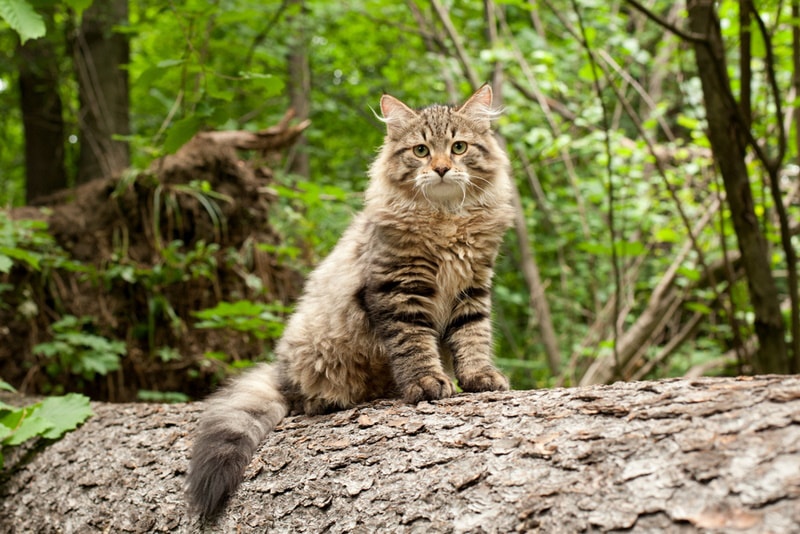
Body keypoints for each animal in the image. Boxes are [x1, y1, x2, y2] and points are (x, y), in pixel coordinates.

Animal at [185, 85, 516, 520]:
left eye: (458, 147)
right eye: (422, 151)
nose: (443, 169)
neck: (446, 220)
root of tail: (281, 373)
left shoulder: (471, 288)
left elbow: (473, 338)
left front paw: (480, 377)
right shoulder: (400, 289)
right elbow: (414, 345)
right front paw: (427, 384)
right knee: (305, 401)